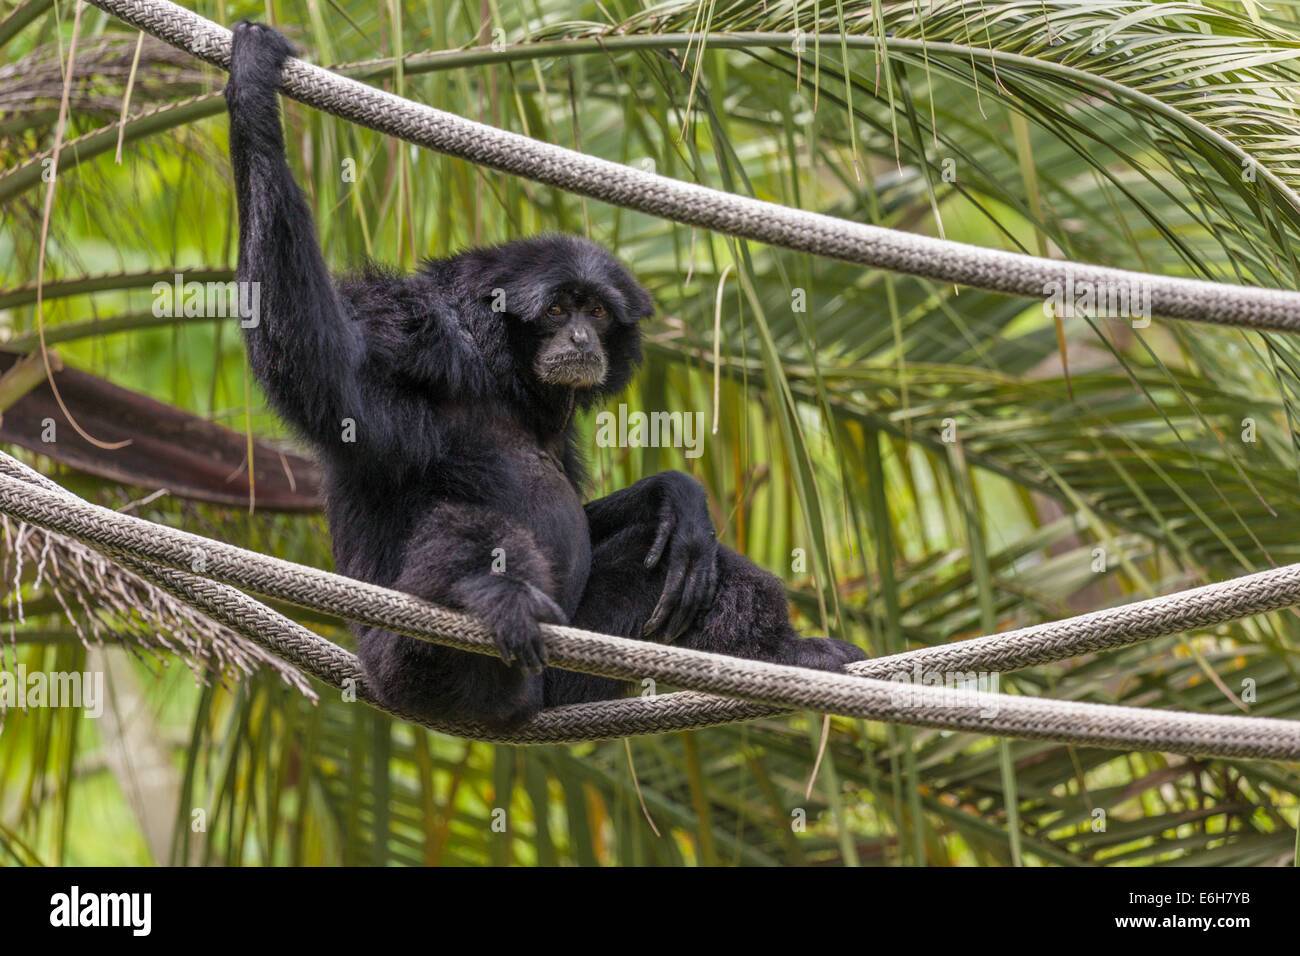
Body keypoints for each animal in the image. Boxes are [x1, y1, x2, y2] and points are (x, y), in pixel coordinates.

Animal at [224, 21, 865, 730]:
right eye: (558, 310)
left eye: (595, 311)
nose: (580, 337)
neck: (501, 376)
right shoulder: (412, 335)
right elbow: (322, 376)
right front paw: (252, 94)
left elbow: (621, 519)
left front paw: (674, 494)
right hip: (409, 667)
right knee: (465, 531)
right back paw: (487, 593)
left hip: (561, 676)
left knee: (675, 561)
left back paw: (786, 651)